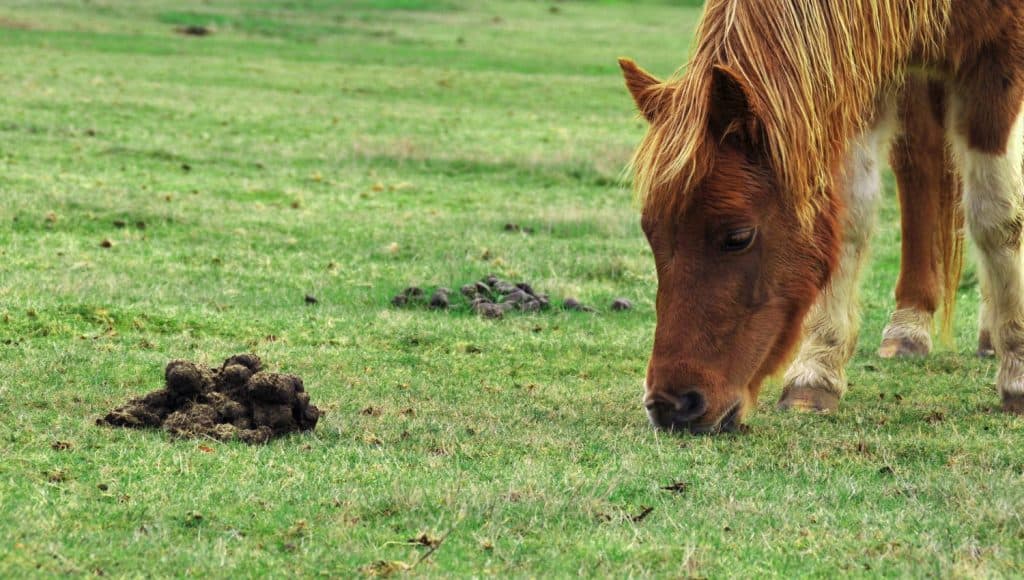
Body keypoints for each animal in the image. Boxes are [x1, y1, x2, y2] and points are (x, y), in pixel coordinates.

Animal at [619, 0, 1024, 433]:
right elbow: (849, 217)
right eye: (650, 233)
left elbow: (997, 214)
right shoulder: (863, 66)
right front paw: (815, 373)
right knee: (921, 161)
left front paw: (1017, 374)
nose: (670, 406)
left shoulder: (1000, 61)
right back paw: (911, 327)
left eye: (738, 236)